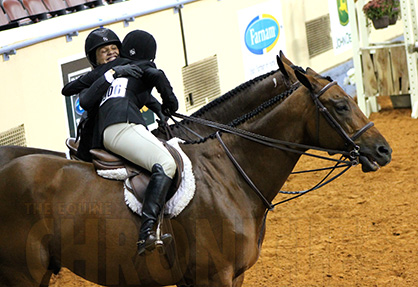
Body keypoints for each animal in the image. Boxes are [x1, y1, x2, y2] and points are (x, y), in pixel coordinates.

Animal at [0, 70, 392, 287]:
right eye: (341, 105)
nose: (383, 150)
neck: (232, 174)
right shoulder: (213, 276)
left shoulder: (222, 276)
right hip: (23, 275)